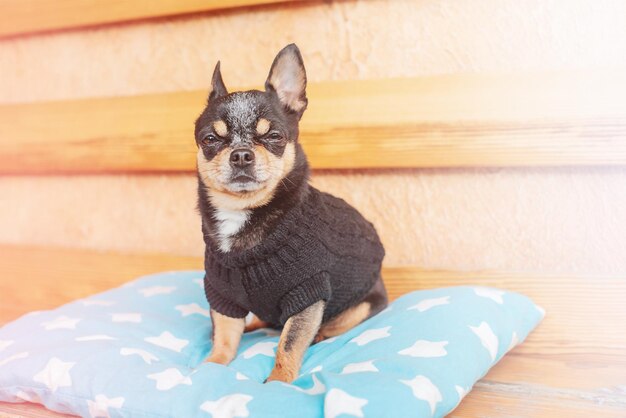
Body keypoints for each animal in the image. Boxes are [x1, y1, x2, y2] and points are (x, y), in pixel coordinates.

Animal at [193, 44, 386, 384]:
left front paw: (278, 382)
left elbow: (290, 342)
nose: (240, 155)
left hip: (361, 306)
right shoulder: (222, 296)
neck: (244, 213)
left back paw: (319, 333)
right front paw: (212, 365)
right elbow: (225, 337)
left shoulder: (307, 294)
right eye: (210, 140)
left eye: (274, 137)